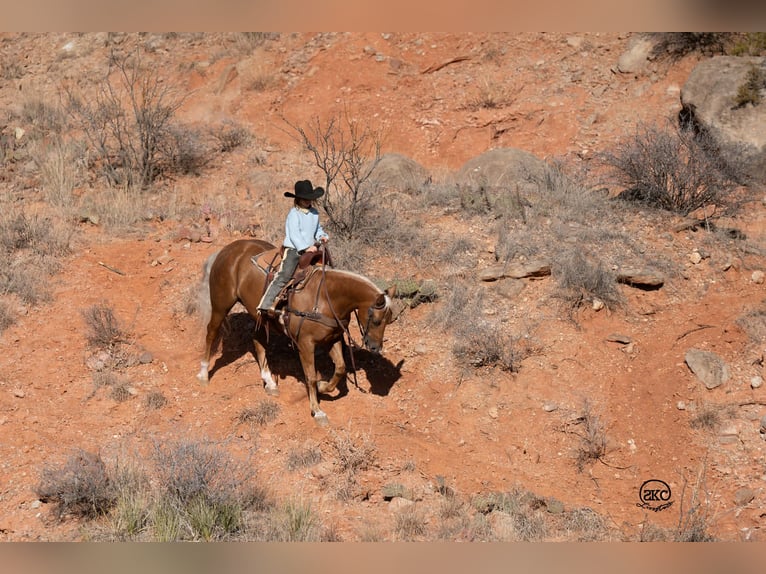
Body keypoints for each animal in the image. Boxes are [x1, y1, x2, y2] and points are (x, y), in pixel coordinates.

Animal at [196, 238, 397, 425]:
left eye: (390, 320)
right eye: (377, 321)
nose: (375, 348)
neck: (326, 298)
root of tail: (227, 249)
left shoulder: (333, 339)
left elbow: (340, 368)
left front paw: (323, 387)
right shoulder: (305, 344)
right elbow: (310, 377)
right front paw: (317, 411)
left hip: (259, 315)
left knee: (257, 339)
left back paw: (270, 382)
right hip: (221, 304)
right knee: (211, 332)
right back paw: (204, 374)